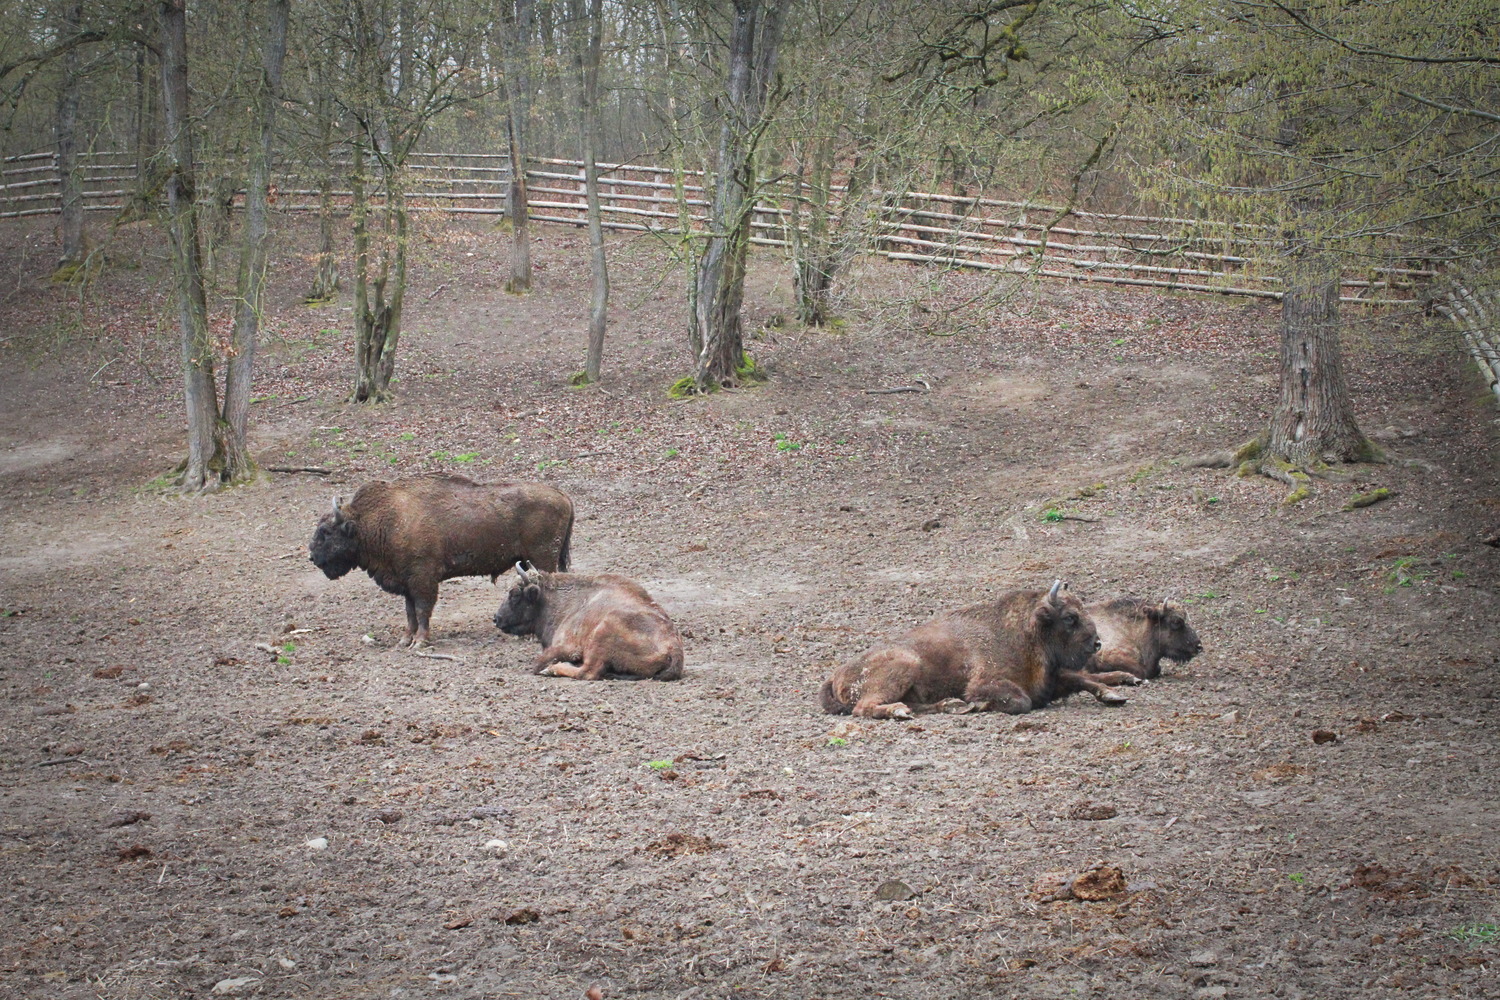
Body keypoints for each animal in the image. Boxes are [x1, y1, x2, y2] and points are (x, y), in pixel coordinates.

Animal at [310, 476, 573, 650]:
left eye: (326, 531)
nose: (312, 556)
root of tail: (563, 496)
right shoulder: (407, 582)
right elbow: (410, 613)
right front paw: (405, 640)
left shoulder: (422, 579)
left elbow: (422, 610)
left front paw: (419, 642)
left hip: (542, 558)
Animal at [495, 563, 684, 680]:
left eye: (515, 594)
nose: (496, 619)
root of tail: (674, 648)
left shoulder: (566, 646)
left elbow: (538, 663)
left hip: (602, 632)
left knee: (587, 672)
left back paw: (553, 669)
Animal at [822, 578, 1104, 719]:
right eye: (1070, 617)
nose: (1097, 643)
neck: (1024, 631)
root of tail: (834, 675)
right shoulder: (985, 681)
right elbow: (1019, 701)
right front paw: (978, 705)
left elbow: (1081, 679)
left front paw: (1110, 695)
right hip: (904, 666)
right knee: (864, 708)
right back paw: (901, 711)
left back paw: (948, 705)